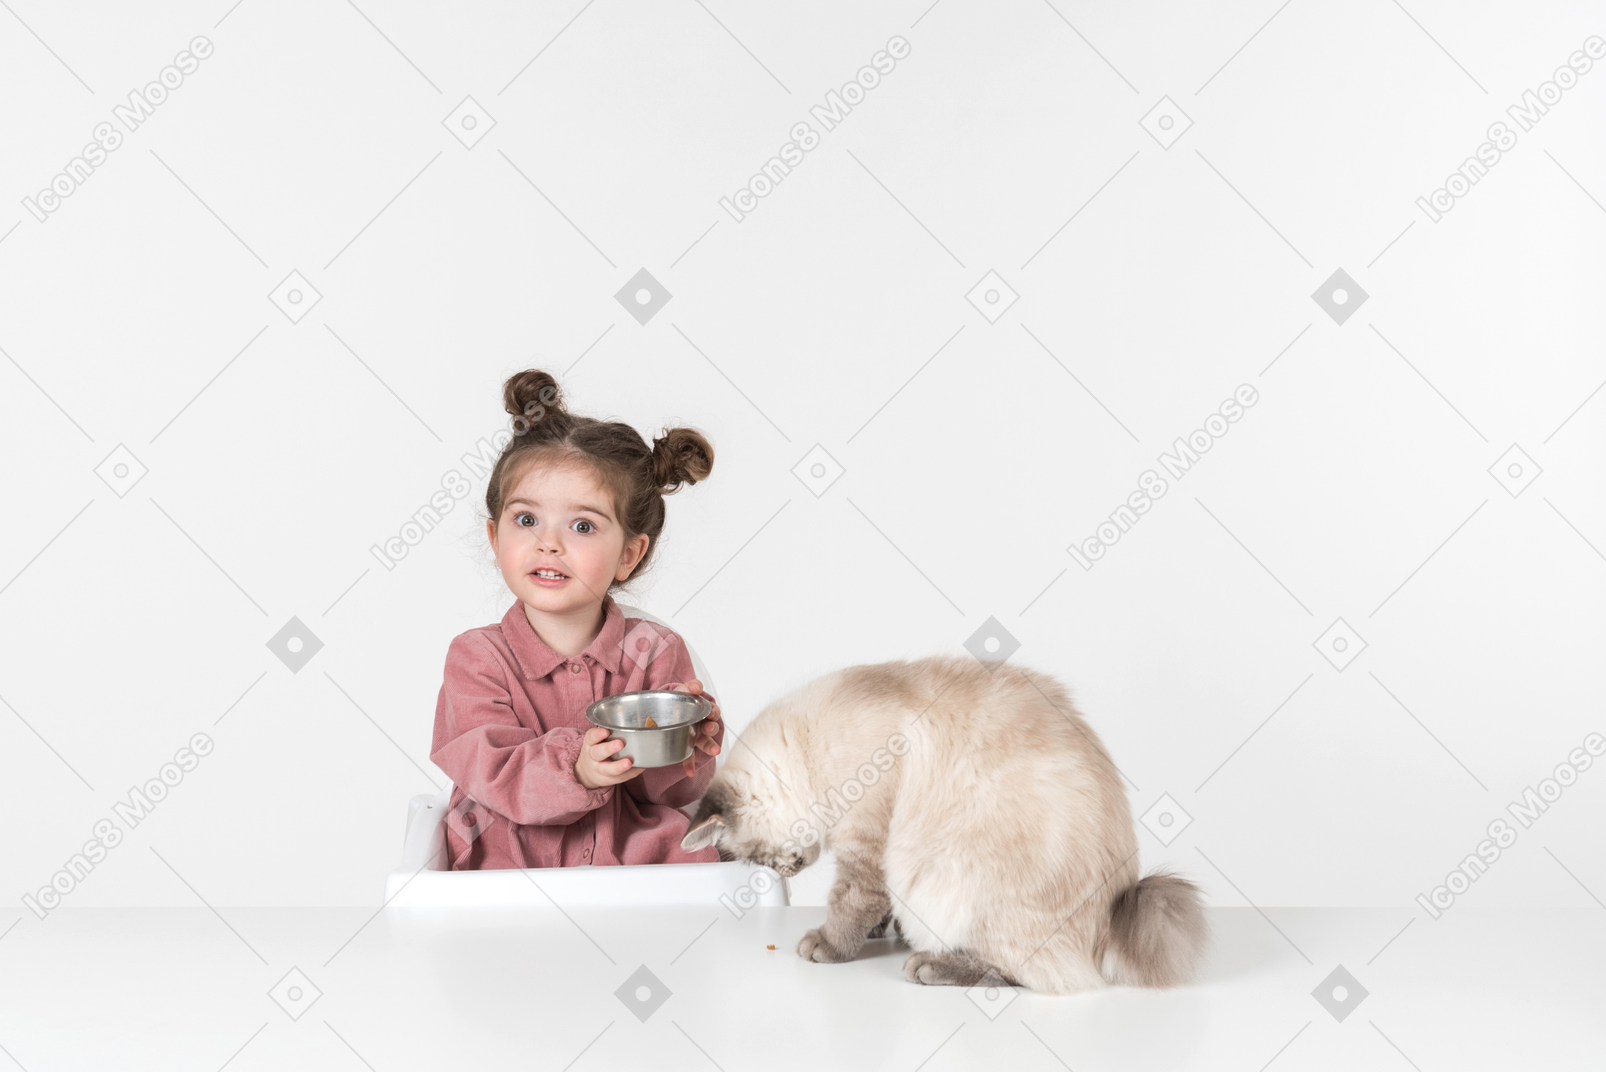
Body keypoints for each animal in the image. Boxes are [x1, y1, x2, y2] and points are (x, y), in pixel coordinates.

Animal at [677, 655, 1207, 996]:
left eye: (761, 859)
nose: (786, 873)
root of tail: (1120, 907)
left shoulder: (869, 845)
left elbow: (849, 902)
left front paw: (827, 945)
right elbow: (877, 907)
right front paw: (880, 932)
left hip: (956, 880)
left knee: (1037, 976)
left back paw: (929, 965)